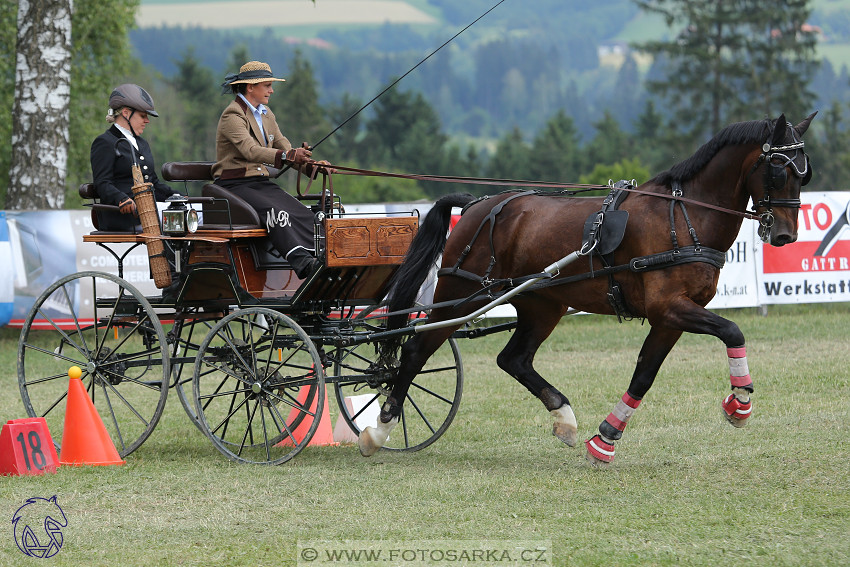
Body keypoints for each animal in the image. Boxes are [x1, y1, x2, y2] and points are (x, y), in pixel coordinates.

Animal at [358, 112, 816, 466]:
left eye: (805, 173)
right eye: (779, 169)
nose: (787, 235)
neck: (684, 216)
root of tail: (476, 205)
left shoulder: (670, 317)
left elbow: (644, 374)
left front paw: (605, 440)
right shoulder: (670, 308)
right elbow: (732, 331)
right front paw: (740, 402)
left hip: (542, 305)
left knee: (514, 359)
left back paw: (564, 418)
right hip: (461, 296)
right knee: (416, 351)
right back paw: (379, 430)